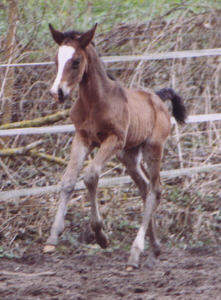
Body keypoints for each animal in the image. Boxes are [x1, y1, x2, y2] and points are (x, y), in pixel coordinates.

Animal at [44, 22, 186, 268]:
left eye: (76, 61)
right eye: (56, 60)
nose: (57, 93)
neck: (95, 102)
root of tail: (158, 99)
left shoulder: (113, 140)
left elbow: (90, 176)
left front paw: (101, 236)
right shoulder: (82, 138)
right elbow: (68, 180)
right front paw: (53, 237)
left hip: (153, 148)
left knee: (155, 189)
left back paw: (136, 253)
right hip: (129, 156)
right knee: (145, 188)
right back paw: (154, 248)